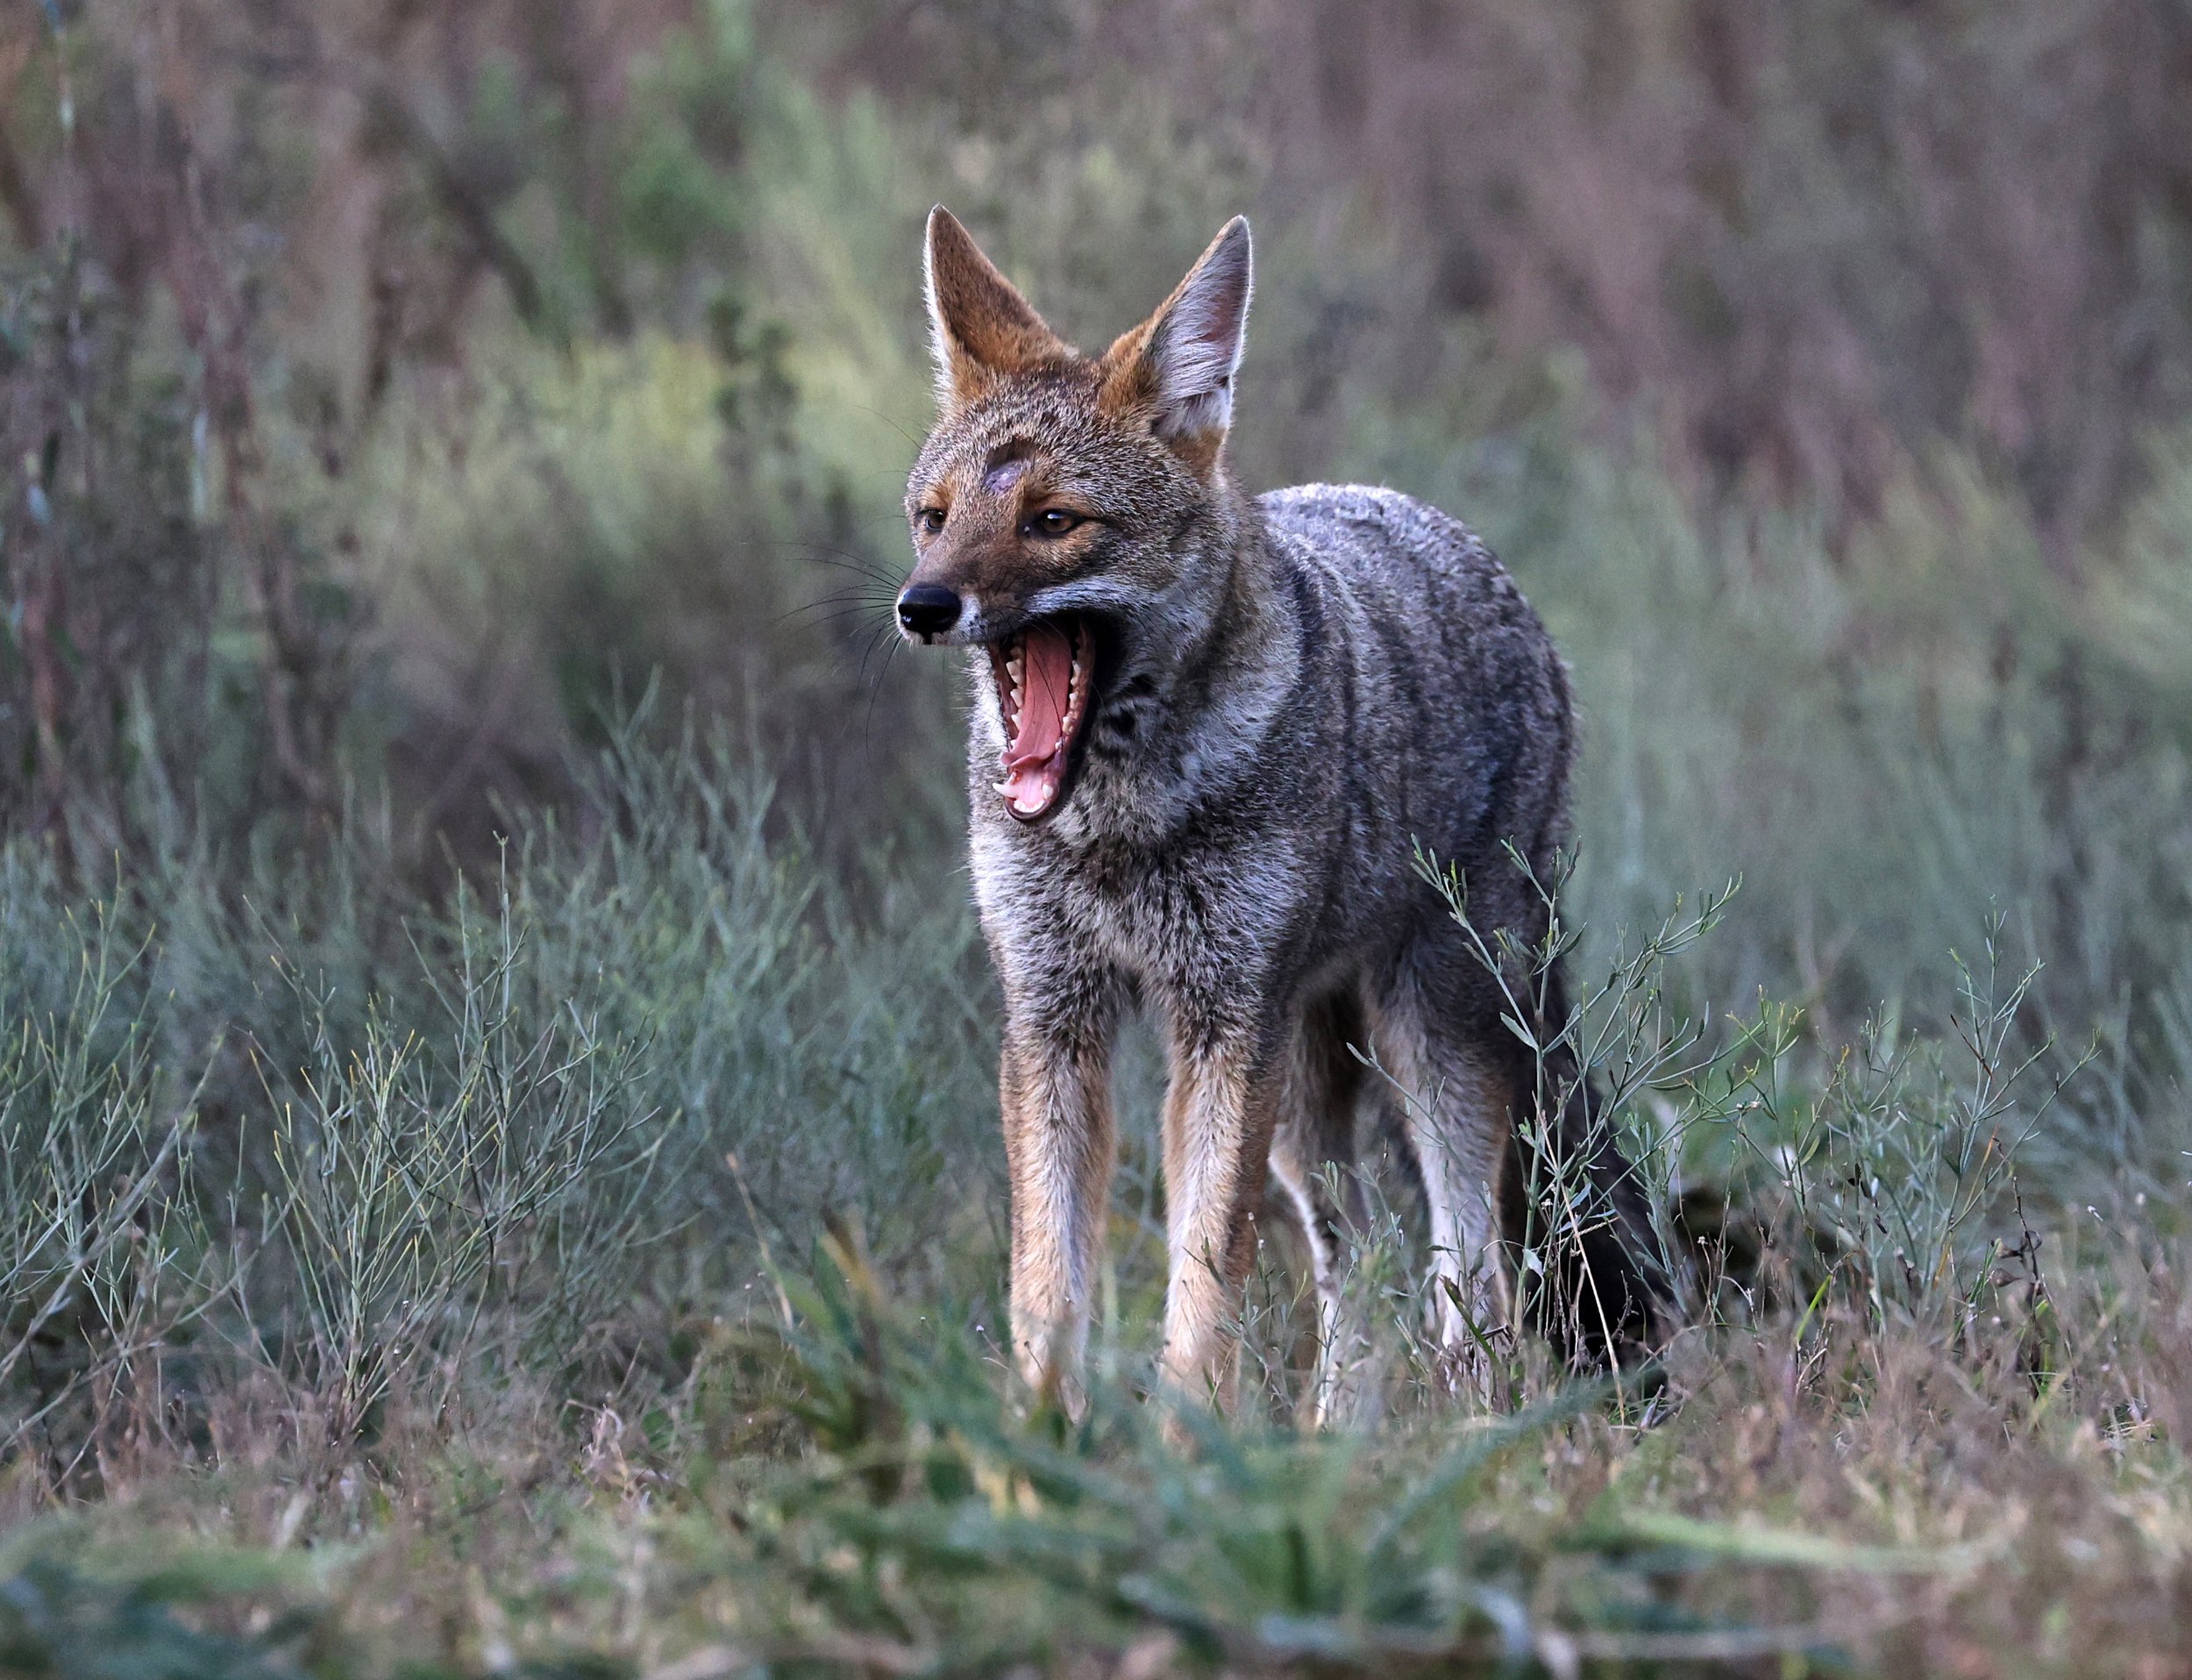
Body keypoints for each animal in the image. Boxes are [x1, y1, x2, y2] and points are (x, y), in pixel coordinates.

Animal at [895, 207, 1663, 1418]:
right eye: (933, 520)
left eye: (1051, 520)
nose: (921, 604)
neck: (1115, 827)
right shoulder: (1052, 1017)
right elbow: (1045, 1287)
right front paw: (1040, 1445)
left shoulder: (1221, 1027)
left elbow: (1205, 1283)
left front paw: (1183, 1447)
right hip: (1308, 1099)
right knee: (1360, 1269)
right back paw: (1337, 1434)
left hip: (1433, 1038)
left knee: (1472, 1269)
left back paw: (1465, 1424)